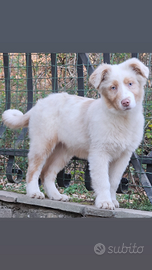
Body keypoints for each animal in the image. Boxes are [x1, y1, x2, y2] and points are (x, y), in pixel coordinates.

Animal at [2, 58, 149, 210]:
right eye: (113, 87)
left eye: (130, 83)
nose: (125, 102)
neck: (122, 119)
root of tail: (39, 103)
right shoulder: (99, 153)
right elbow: (103, 181)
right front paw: (104, 202)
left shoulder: (123, 156)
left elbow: (114, 181)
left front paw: (112, 200)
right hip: (42, 144)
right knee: (33, 170)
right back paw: (34, 192)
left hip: (62, 151)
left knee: (47, 173)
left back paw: (56, 195)